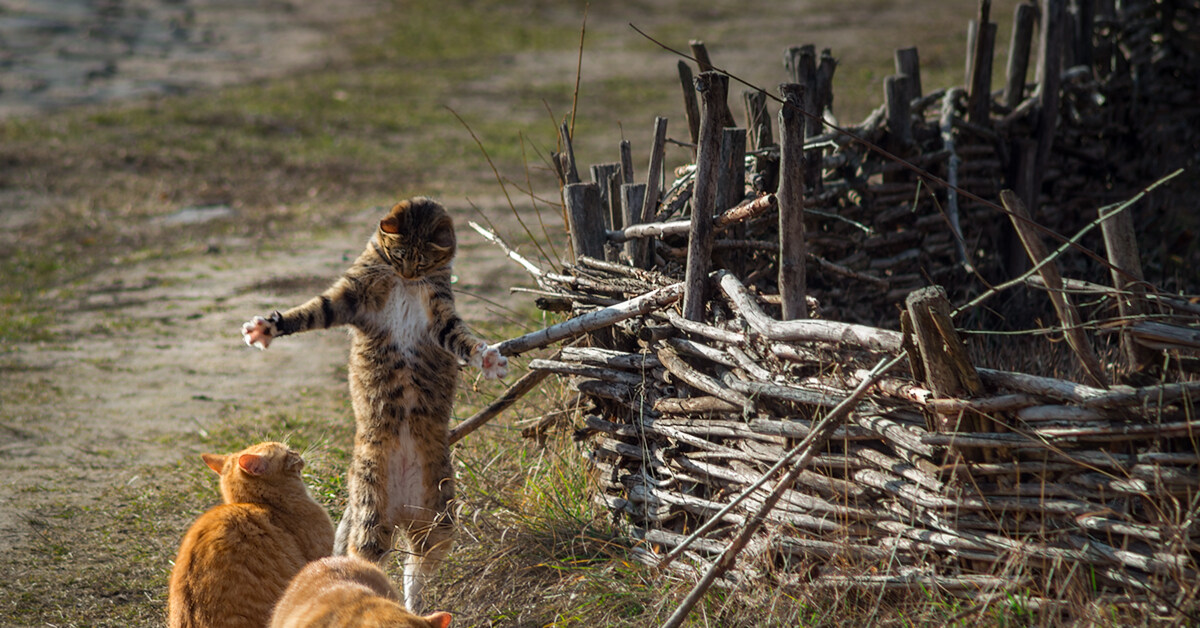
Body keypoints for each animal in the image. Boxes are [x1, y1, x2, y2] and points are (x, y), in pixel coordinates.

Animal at [241, 198, 508, 614]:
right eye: (398, 256)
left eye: (421, 259)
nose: (408, 272)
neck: (404, 284)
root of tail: (400, 509)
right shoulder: (349, 296)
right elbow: (311, 310)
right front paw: (266, 328)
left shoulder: (441, 316)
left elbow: (463, 339)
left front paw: (489, 359)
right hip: (371, 514)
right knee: (365, 561)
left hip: (440, 520)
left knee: (414, 568)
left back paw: (415, 608)